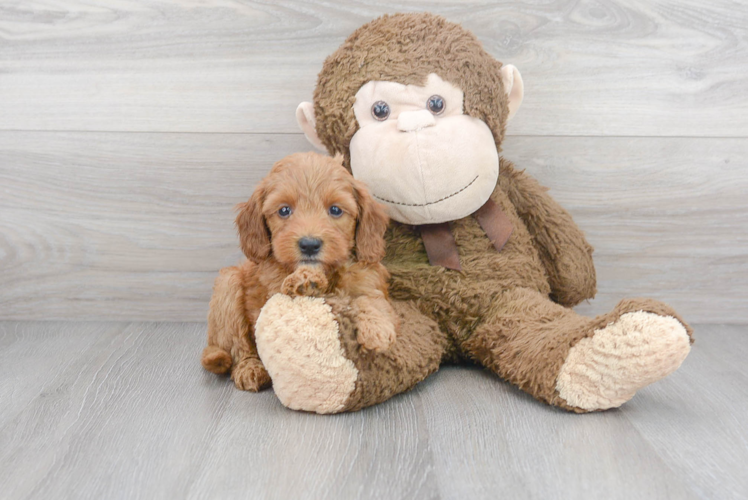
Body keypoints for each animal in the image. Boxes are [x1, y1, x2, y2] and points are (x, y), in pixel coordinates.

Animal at [199, 150, 398, 392]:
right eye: (284, 210)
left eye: (335, 210)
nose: (309, 245)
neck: (328, 273)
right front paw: (304, 281)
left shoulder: (368, 280)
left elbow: (369, 300)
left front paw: (377, 329)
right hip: (228, 284)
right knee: (238, 346)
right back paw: (250, 368)